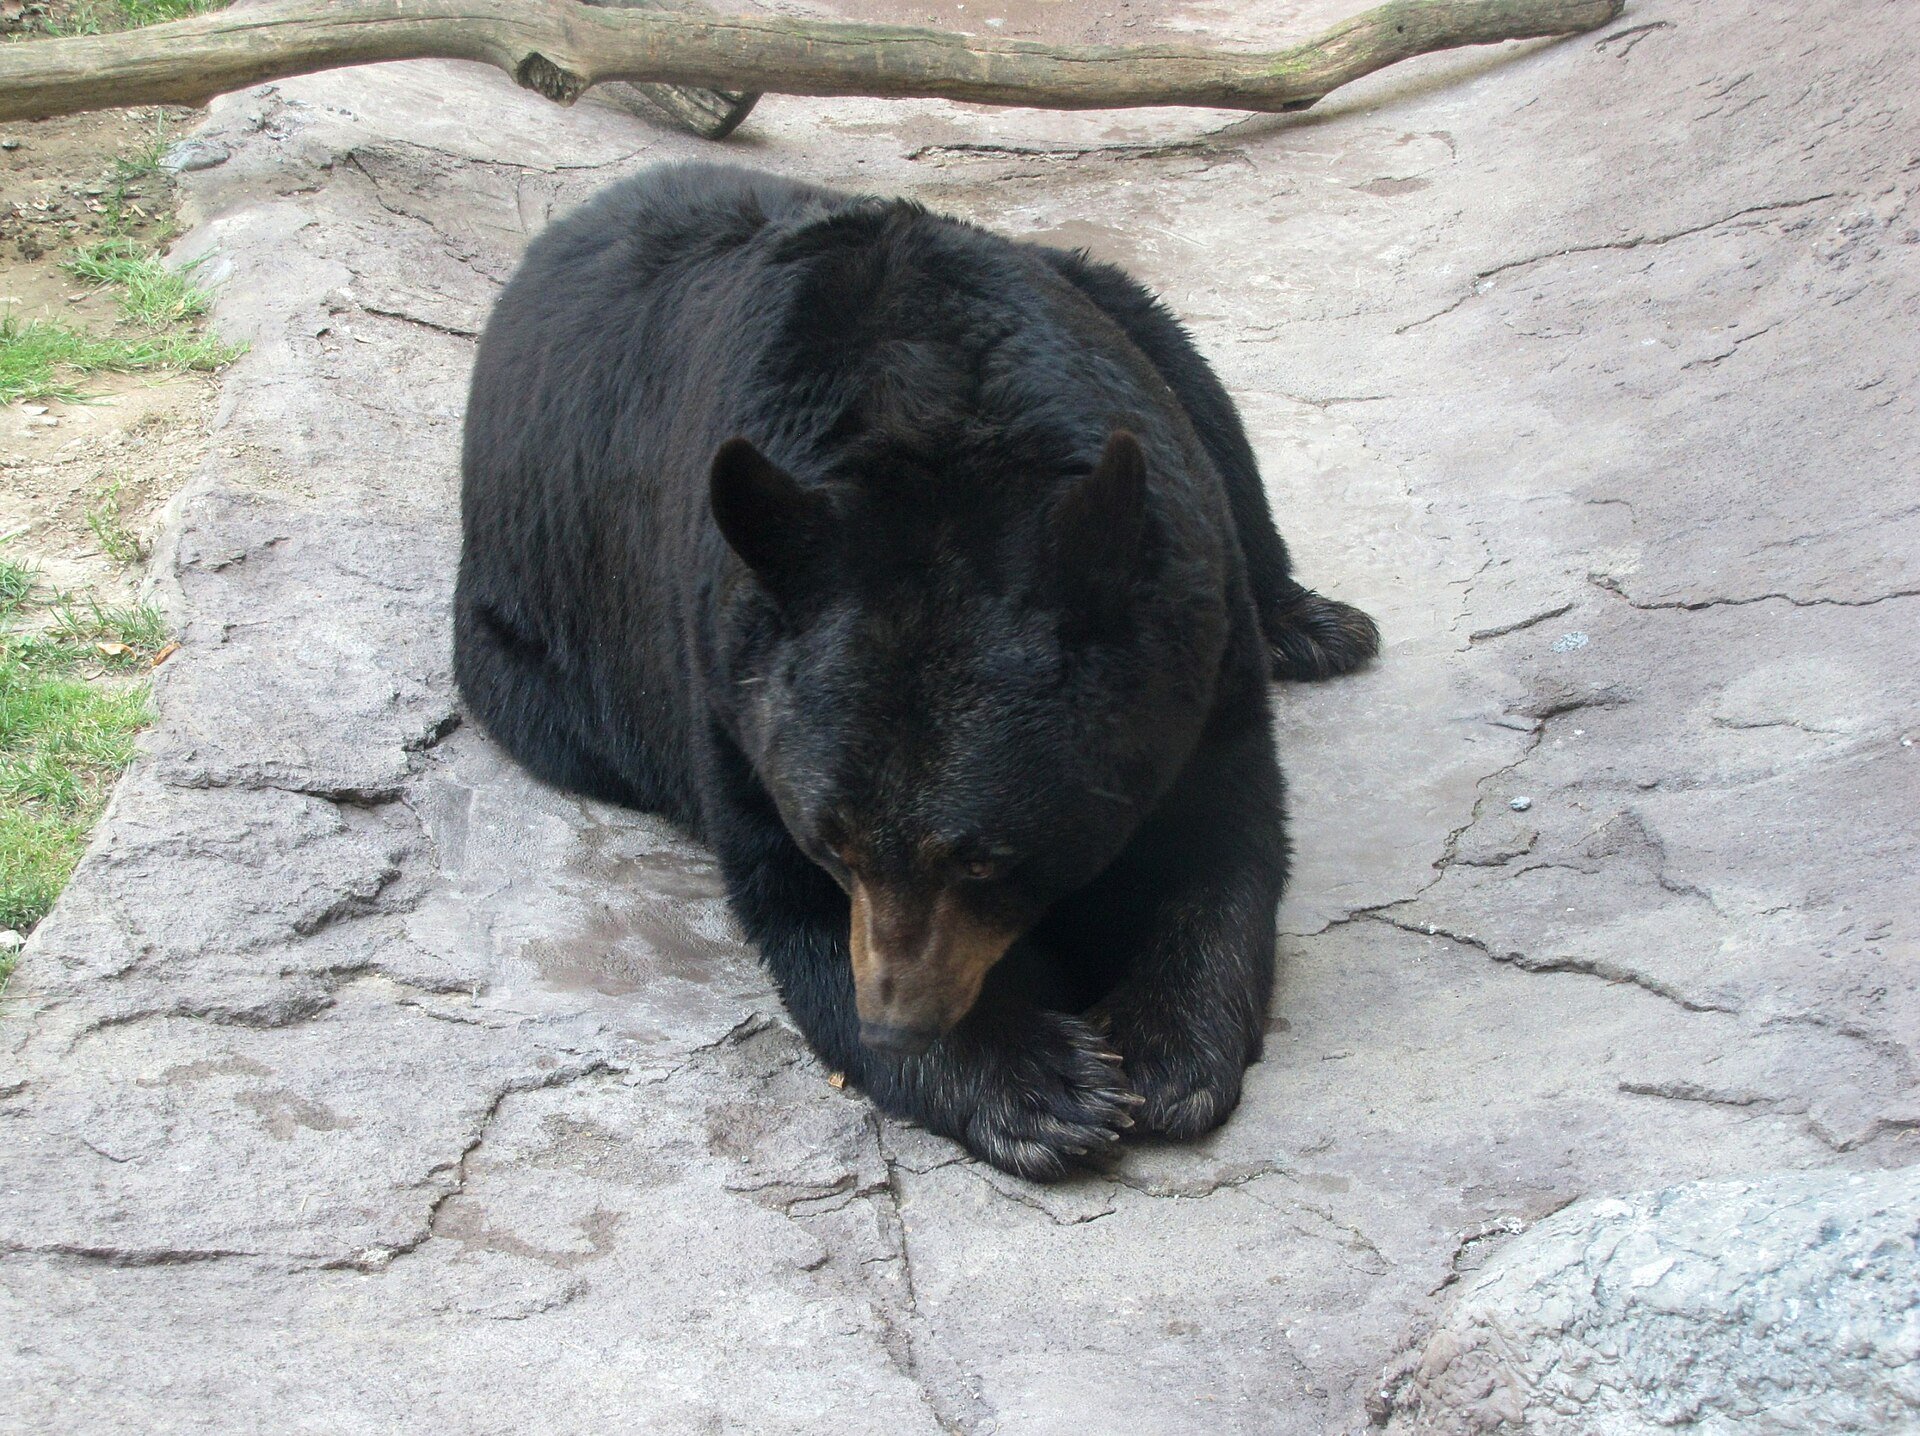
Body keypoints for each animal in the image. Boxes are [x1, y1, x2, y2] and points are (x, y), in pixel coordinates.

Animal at [455, 161, 1377, 1180]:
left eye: (987, 857)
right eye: (834, 842)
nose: (899, 1023)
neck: (938, 437)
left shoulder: (1194, 640)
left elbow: (1221, 831)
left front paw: (1167, 1044)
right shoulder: (727, 686)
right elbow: (790, 907)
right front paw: (1038, 1084)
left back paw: (1314, 624)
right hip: (534, 660)